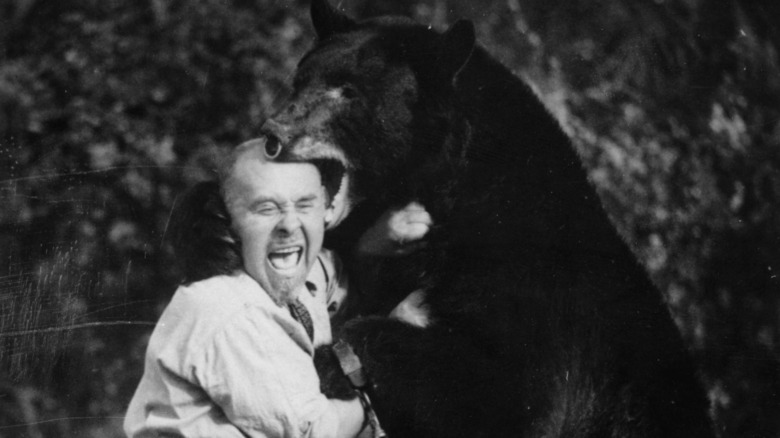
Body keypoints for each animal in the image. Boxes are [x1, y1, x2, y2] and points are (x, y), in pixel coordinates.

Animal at [254, 1, 712, 436]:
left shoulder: (534, 282)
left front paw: (327, 359)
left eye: (348, 91)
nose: (273, 133)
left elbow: (505, 394)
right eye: (299, 81)